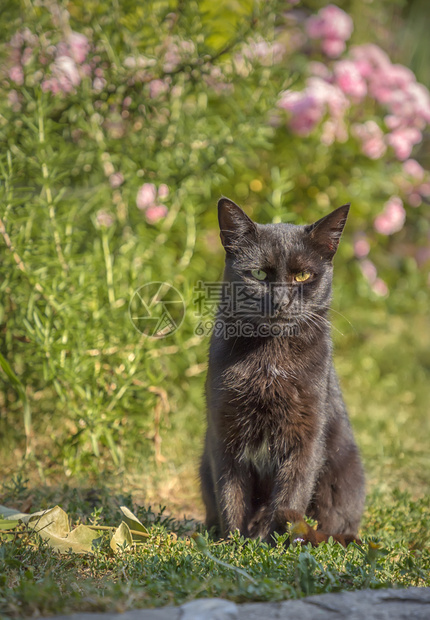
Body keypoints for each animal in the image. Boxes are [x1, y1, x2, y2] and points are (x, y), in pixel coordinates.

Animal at [200, 196, 364, 544]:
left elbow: (290, 494)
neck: (269, 360)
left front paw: (272, 546)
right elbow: (230, 494)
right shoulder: (224, 429)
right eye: (259, 273)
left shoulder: (306, 433)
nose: (281, 301)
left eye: (302, 276)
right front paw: (233, 544)